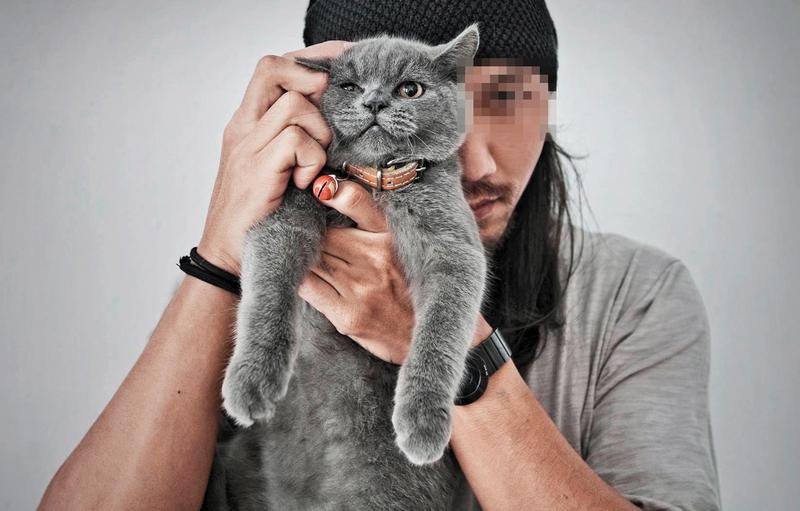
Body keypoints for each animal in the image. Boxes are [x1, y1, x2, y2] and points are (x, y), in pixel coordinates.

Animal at [205, 24, 487, 510]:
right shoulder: (288, 209)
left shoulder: (454, 247)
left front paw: (422, 421)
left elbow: (441, 332)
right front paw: (252, 381)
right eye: (349, 87)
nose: (373, 102)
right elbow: (267, 293)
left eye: (409, 89)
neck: (373, 183)